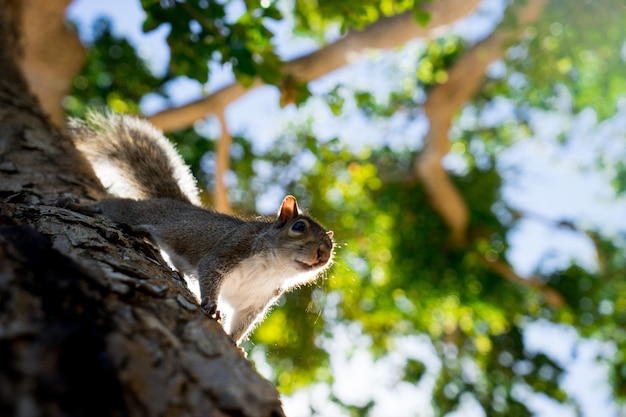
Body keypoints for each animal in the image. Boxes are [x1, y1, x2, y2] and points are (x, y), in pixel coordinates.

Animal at [67, 109, 332, 342]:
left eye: (332, 244)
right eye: (299, 227)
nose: (324, 253)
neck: (273, 267)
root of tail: (174, 202)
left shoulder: (257, 298)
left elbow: (243, 322)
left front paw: (236, 343)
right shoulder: (234, 247)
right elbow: (210, 267)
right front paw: (212, 305)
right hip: (139, 212)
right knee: (113, 205)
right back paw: (80, 204)